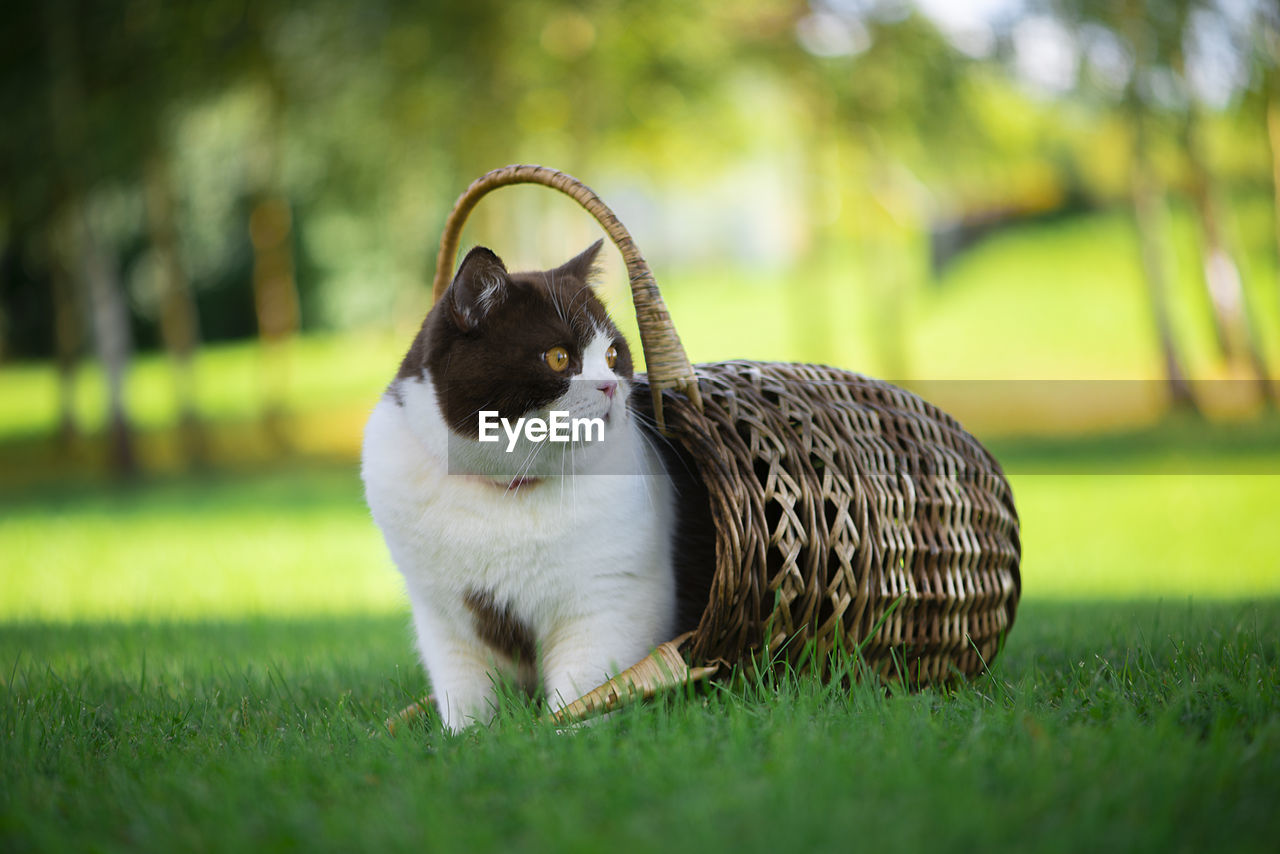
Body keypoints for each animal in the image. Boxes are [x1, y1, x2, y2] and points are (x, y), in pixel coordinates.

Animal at [366, 240, 716, 737]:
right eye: (558, 358)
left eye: (614, 355)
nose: (610, 387)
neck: (508, 491)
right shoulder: (444, 617)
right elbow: (463, 691)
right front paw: (464, 741)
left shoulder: (609, 604)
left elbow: (586, 690)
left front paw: (561, 734)